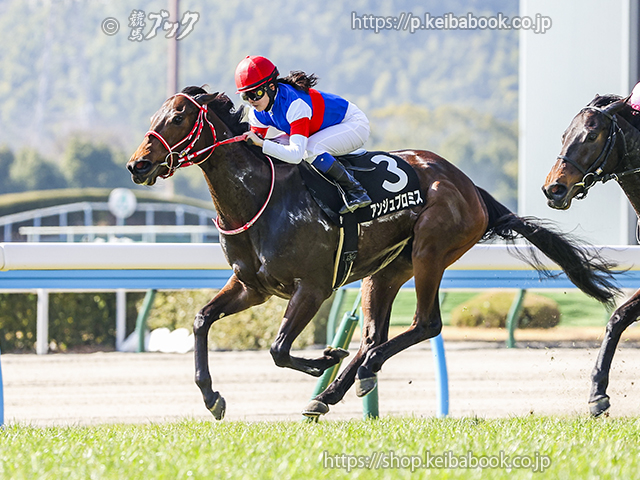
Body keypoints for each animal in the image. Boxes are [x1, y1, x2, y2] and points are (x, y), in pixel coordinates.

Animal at [128, 86, 618, 420]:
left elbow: (279, 349)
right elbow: (202, 319)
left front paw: (324, 359)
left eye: (177, 117)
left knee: (425, 323)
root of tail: (470, 187)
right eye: (156, 114)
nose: (137, 164)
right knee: (373, 335)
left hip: (429, 252)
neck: (259, 198)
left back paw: (354, 375)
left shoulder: (313, 287)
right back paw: (334, 392)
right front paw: (212, 397)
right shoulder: (253, 287)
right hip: (384, 270)